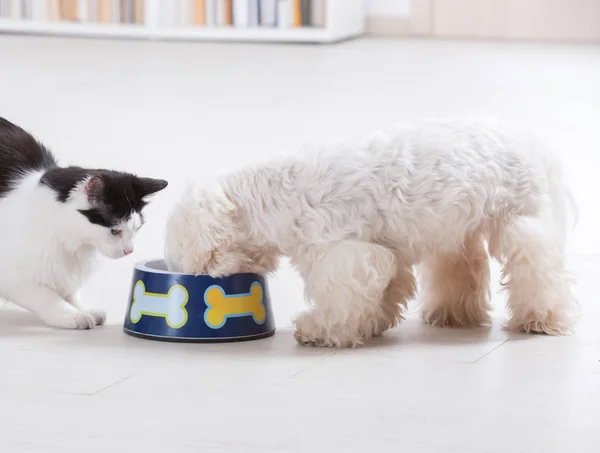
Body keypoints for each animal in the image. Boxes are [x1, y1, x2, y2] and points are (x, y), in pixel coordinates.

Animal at [0, 116, 168, 328]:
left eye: (136, 229)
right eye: (115, 231)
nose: (129, 250)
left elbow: (69, 291)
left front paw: (83, 310)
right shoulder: (11, 276)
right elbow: (46, 297)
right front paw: (72, 315)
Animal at [164, 116, 576, 346]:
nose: (195, 278)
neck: (273, 196)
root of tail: (533, 142)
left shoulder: (344, 253)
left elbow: (342, 297)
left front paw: (320, 330)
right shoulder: (384, 250)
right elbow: (386, 291)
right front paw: (373, 323)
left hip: (520, 221)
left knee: (538, 267)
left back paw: (540, 319)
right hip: (457, 230)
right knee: (462, 267)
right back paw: (451, 314)